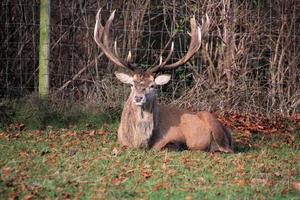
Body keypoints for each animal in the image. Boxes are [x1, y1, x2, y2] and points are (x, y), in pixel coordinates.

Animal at [94, 8, 234, 152]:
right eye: (132, 84)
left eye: (153, 86)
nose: (138, 97)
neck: (139, 143)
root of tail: (229, 133)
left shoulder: (176, 137)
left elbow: (171, 146)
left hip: (212, 121)